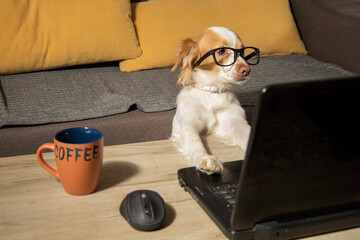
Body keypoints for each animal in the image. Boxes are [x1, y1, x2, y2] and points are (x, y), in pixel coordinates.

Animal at [170, 26, 258, 174]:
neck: (212, 93)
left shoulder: (236, 123)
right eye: (221, 50)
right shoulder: (188, 125)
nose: (246, 70)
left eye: (242, 50)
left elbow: (248, 134)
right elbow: (195, 142)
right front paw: (206, 159)